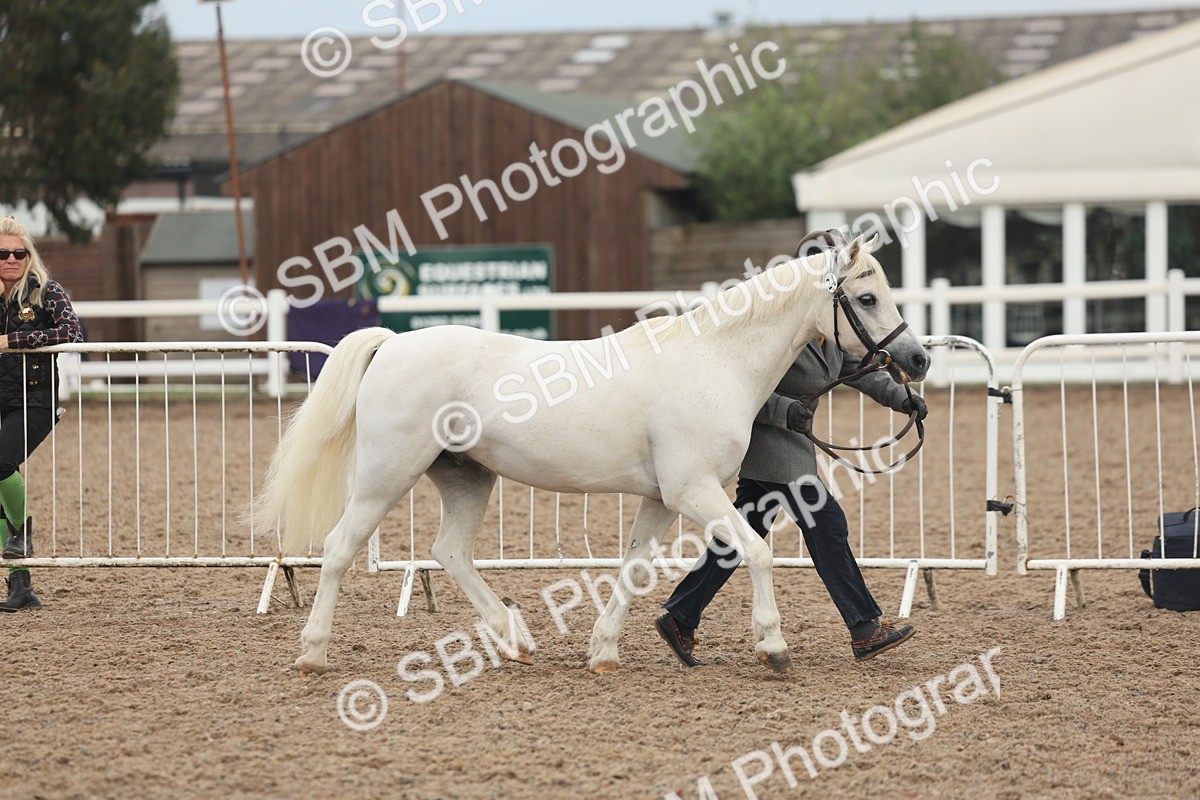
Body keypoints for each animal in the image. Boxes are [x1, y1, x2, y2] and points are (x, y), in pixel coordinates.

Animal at [255, 232, 929, 675]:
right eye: (867, 298)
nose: (918, 360)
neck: (714, 360)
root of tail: (392, 342)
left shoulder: (664, 499)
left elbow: (634, 567)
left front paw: (603, 650)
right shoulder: (692, 490)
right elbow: (758, 553)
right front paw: (774, 646)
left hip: (467, 477)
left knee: (449, 553)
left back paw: (516, 640)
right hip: (386, 474)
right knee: (340, 548)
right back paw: (313, 652)